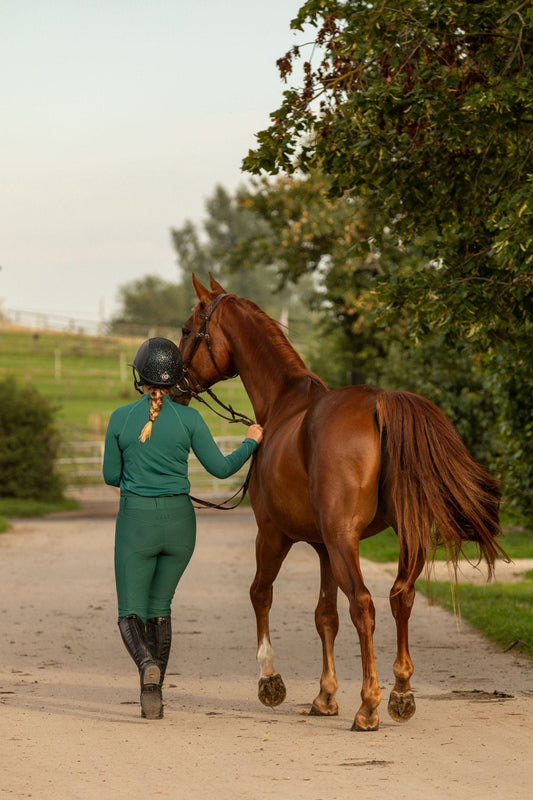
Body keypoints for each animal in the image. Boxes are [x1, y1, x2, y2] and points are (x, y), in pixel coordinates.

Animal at [178, 276, 502, 732]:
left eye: (188, 330)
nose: (176, 385)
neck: (282, 404)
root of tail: (380, 403)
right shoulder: (322, 547)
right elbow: (324, 616)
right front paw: (325, 695)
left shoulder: (274, 535)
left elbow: (261, 594)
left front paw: (270, 680)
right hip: (403, 535)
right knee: (400, 596)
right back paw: (401, 694)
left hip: (341, 538)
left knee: (364, 604)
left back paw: (369, 706)